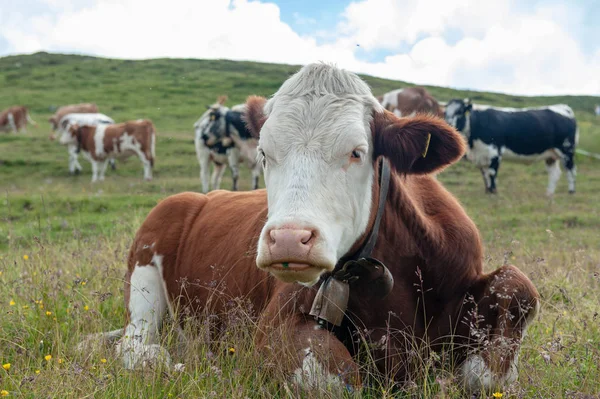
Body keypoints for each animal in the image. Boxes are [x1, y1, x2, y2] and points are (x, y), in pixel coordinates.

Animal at [83, 64, 540, 396]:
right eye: (264, 153)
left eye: (357, 152)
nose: (288, 239)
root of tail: (199, 196)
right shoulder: (278, 324)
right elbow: (333, 381)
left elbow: (515, 297)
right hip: (145, 275)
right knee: (136, 345)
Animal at [442, 98, 580, 195]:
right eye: (445, 113)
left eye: (460, 112)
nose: (449, 125)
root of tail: (563, 107)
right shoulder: (482, 155)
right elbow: (485, 175)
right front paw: (488, 191)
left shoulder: (494, 152)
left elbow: (491, 173)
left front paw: (493, 192)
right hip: (551, 154)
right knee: (554, 173)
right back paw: (549, 194)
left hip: (567, 150)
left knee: (571, 170)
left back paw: (571, 191)